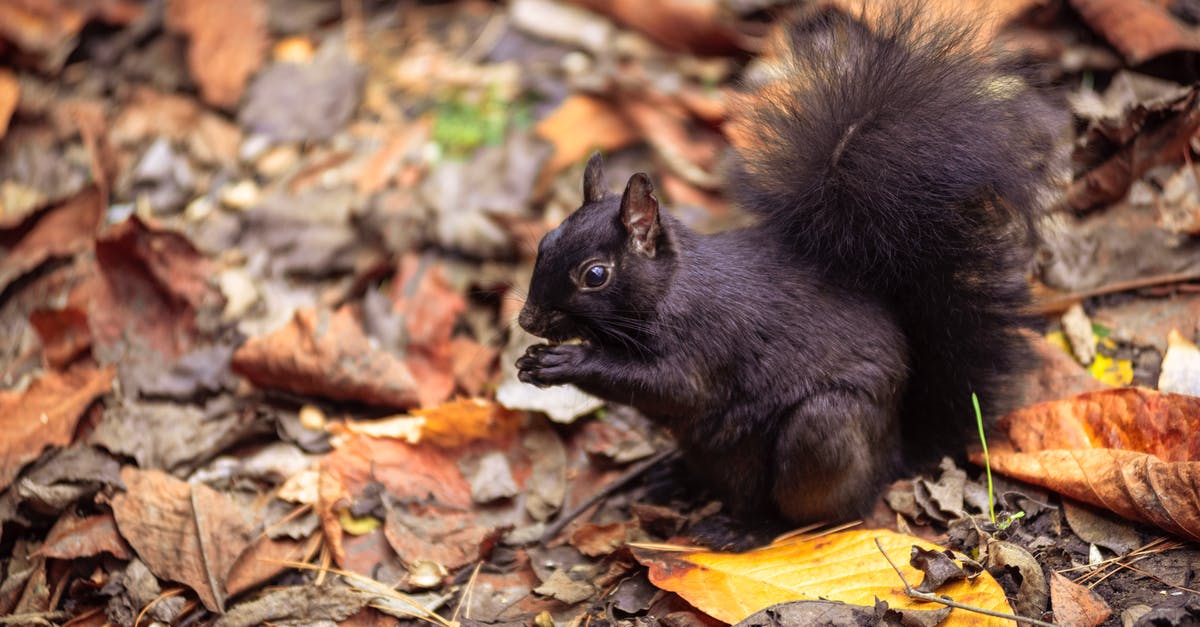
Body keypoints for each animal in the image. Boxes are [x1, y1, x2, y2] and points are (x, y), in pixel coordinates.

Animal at [513, 9, 1060, 518]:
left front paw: (565, 362)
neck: (672, 289)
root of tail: (894, 454)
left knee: (819, 512)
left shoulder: (705, 344)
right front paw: (532, 360)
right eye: (545, 241)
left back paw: (746, 530)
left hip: (822, 429)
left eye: (595, 275)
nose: (527, 321)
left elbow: (671, 387)